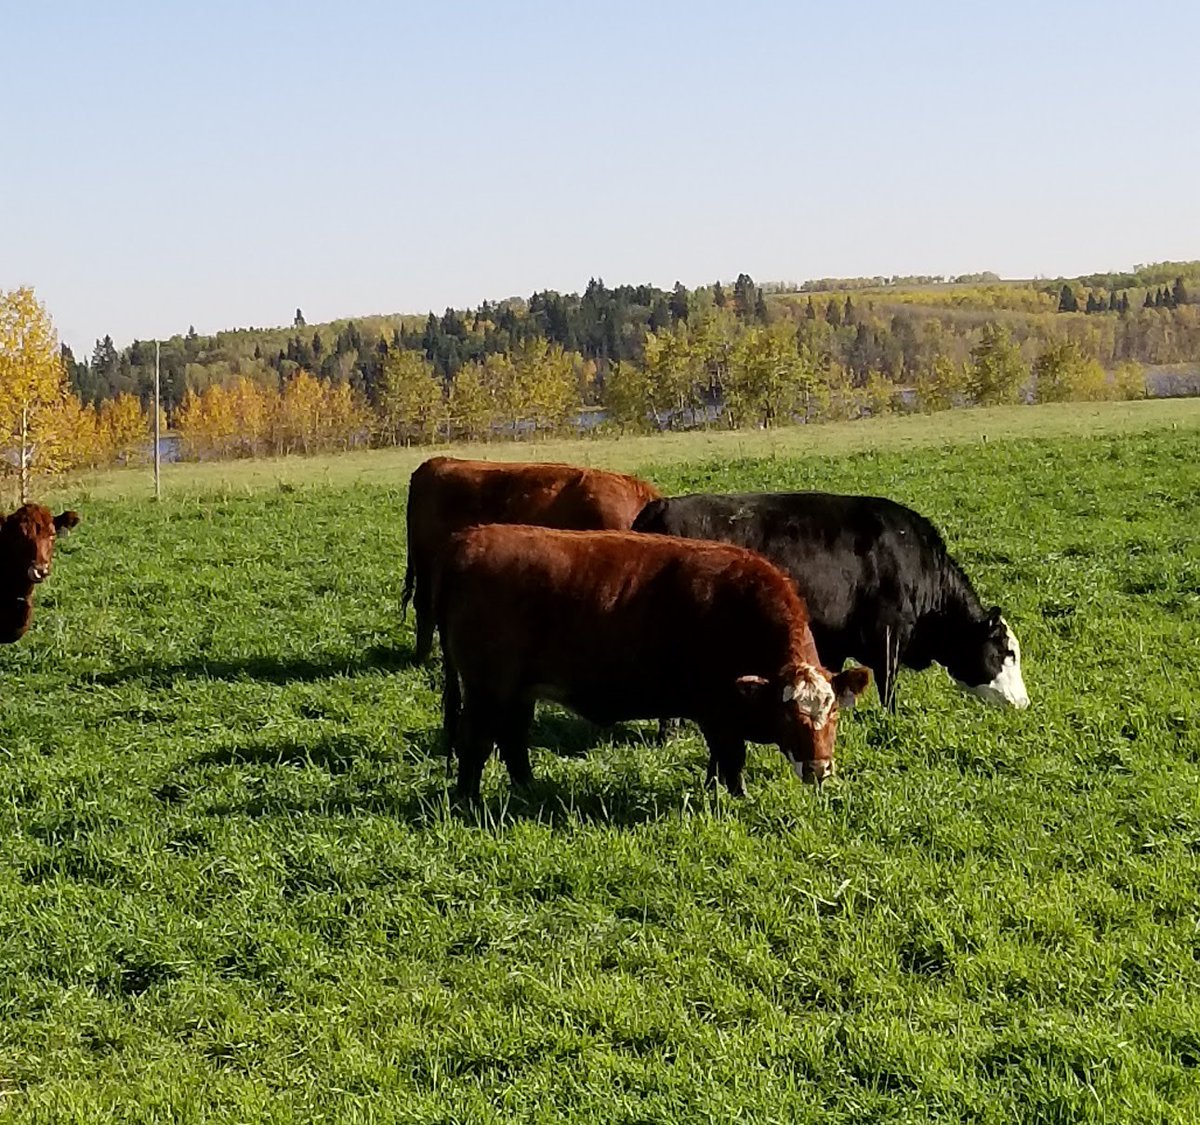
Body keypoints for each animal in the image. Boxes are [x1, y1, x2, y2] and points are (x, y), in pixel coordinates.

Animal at [435, 525, 871, 802]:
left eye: (834, 711)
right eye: (786, 714)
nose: (818, 768)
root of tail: (468, 538)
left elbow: (717, 760)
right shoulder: (717, 711)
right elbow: (731, 759)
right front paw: (738, 798)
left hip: (516, 691)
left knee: (513, 739)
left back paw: (528, 789)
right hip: (486, 689)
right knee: (475, 742)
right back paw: (468, 801)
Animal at [633, 491, 1028, 711]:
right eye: (1005, 652)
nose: (1023, 703)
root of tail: (658, 508)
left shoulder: (836, 641)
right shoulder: (889, 637)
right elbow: (888, 686)